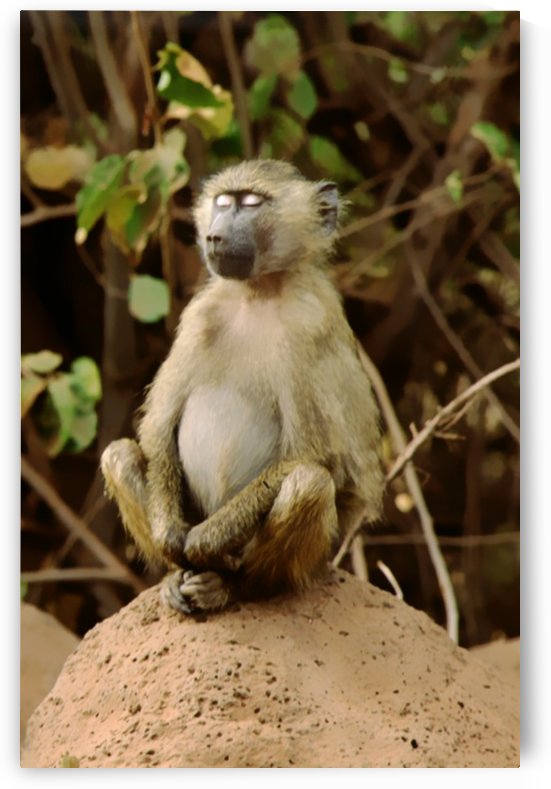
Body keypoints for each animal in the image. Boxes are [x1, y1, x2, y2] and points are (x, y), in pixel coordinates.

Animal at [101, 159, 384, 615]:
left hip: (317, 556)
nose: (214, 235)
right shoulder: (200, 316)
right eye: (222, 202)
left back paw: (233, 586)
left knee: (309, 483)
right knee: (119, 454)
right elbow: (157, 429)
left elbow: (316, 456)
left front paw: (206, 539)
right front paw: (169, 536)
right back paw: (176, 576)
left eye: (251, 203)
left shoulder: (309, 325)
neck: (258, 293)